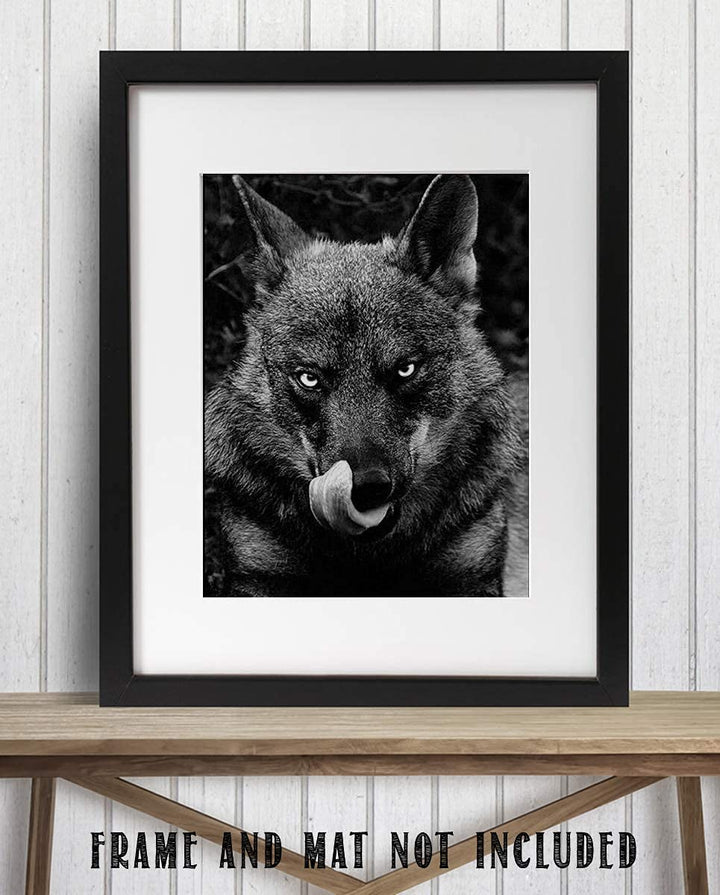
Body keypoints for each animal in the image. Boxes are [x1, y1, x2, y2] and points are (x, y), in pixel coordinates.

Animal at [204, 174, 527, 598]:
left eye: (405, 369)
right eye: (309, 377)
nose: (367, 487)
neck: (368, 561)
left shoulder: (471, 579)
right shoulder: (257, 577)